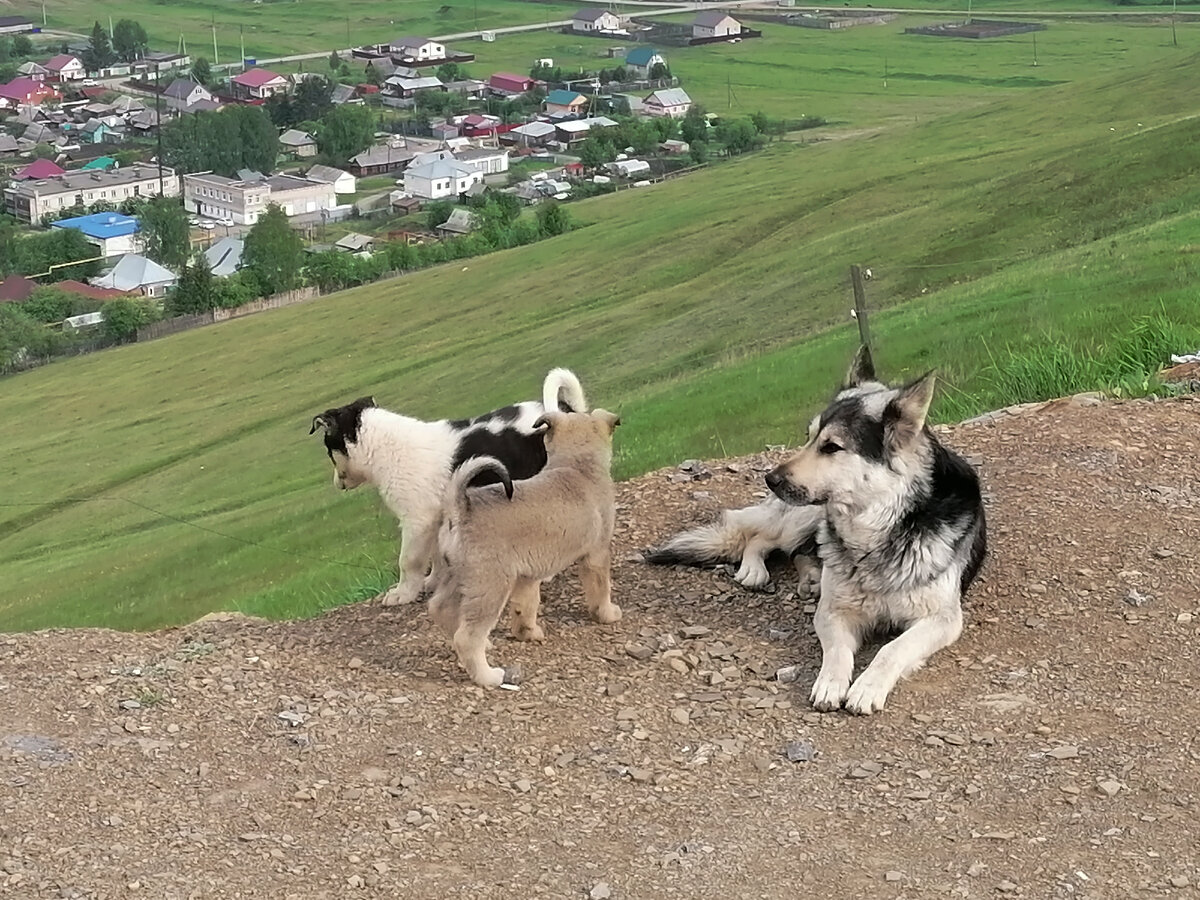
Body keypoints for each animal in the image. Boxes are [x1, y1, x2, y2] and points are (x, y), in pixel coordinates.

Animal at [312, 369, 588, 609]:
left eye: (328, 450)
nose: (336, 483)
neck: (382, 443)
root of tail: (568, 410)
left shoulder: (417, 520)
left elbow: (409, 561)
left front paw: (402, 594)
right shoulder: (434, 518)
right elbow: (436, 556)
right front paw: (432, 582)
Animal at [427, 410, 624, 691]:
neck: (577, 467)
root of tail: (460, 508)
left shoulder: (528, 577)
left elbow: (526, 607)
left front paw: (527, 633)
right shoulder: (596, 556)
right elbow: (601, 590)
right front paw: (607, 614)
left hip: (458, 579)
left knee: (441, 610)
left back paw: (484, 645)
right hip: (491, 587)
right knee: (466, 638)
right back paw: (488, 676)